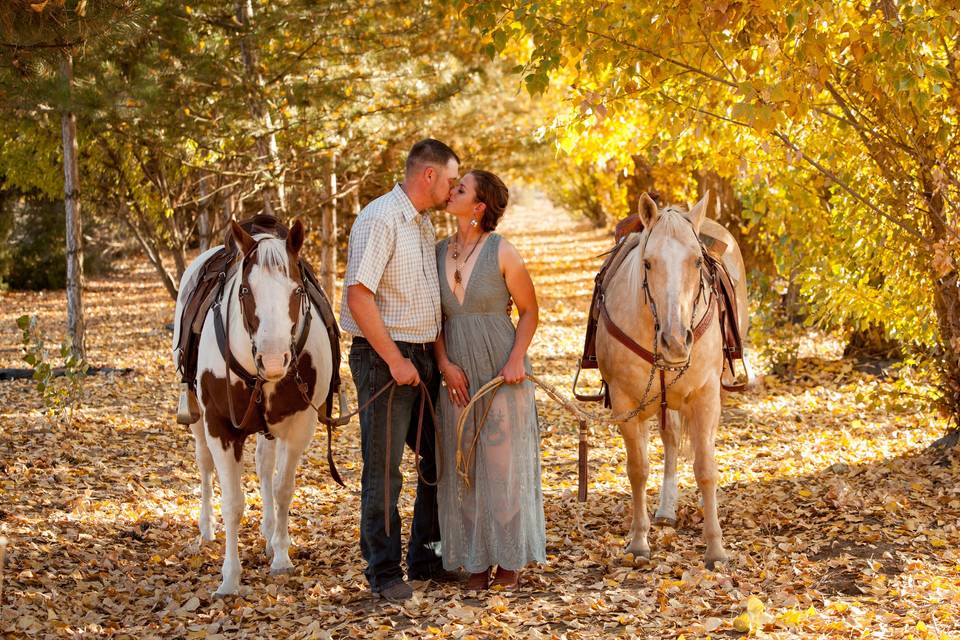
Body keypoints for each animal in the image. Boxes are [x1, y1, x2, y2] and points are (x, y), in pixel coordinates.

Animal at [172, 220, 334, 596]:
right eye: (245, 291)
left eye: (297, 291)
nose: (274, 360)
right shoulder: (220, 428)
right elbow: (233, 502)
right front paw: (230, 577)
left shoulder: (298, 426)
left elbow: (283, 488)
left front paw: (281, 554)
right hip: (198, 420)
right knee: (204, 464)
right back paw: (206, 528)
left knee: (264, 467)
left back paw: (269, 532)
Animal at [600, 192, 752, 568]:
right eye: (648, 263)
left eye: (697, 262)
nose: (675, 341)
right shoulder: (626, 403)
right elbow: (638, 469)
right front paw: (638, 541)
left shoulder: (706, 396)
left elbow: (706, 467)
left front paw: (715, 548)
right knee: (669, 441)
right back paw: (666, 509)